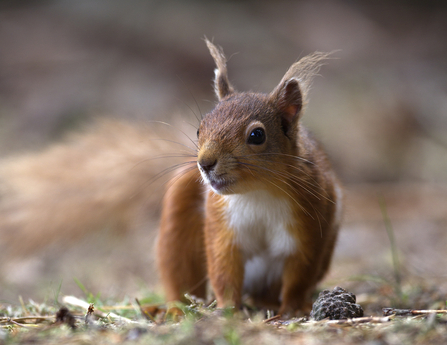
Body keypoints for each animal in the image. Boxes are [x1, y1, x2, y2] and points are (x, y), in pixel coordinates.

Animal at [156, 40, 342, 314]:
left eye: (257, 135)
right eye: (200, 128)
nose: (205, 163)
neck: (258, 192)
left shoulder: (309, 225)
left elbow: (299, 277)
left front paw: (292, 310)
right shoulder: (222, 227)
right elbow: (224, 270)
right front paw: (227, 310)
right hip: (177, 223)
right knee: (180, 274)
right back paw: (178, 310)